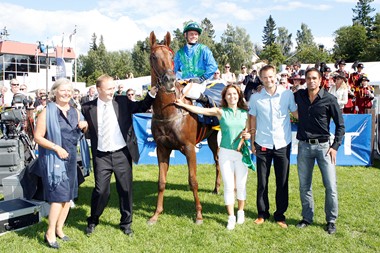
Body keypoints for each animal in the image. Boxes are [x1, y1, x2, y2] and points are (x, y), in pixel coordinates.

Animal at [148, 31, 220, 225]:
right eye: (153, 56)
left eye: (171, 55)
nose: (170, 80)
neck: (170, 110)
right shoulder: (162, 148)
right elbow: (161, 181)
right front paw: (156, 214)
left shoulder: (189, 148)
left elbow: (193, 180)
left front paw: (199, 215)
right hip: (212, 138)